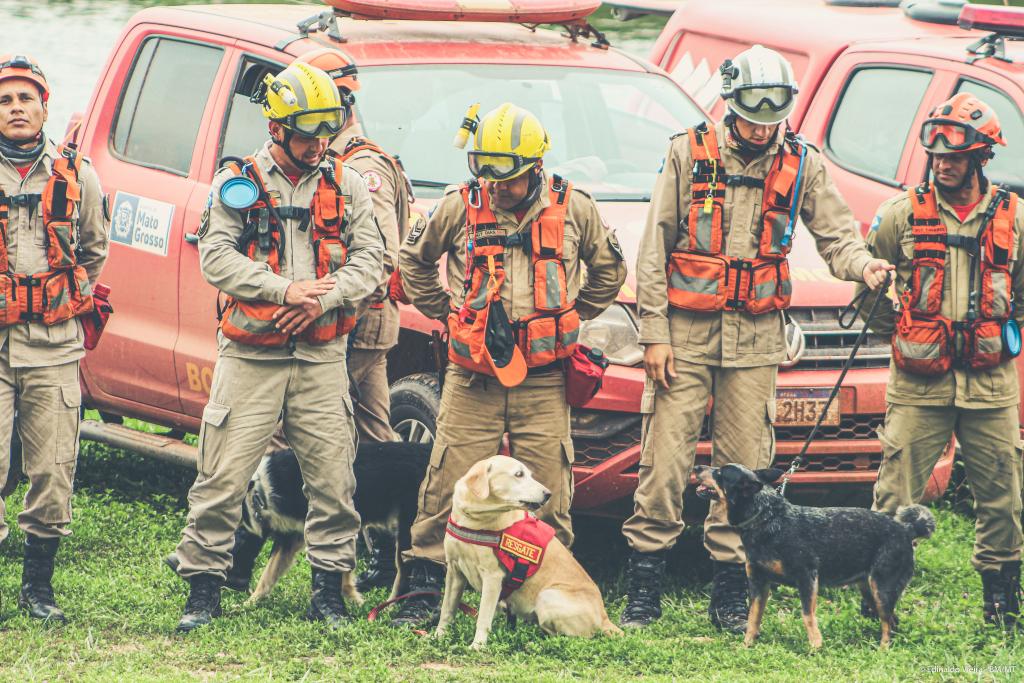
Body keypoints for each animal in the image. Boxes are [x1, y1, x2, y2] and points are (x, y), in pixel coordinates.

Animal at [436, 456, 618, 651]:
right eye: (519, 474)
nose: (548, 494)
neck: (473, 519)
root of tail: (605, 617)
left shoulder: (492, 577)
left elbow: (483, 617)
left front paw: (477, 645)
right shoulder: (454, 571)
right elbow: (447, 609)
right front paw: (438, 636)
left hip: (547, 596)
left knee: (573, 638)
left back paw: (534, 643)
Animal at [696, 462, 937, 651]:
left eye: (720, 473)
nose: (698, 467)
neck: (767, 518)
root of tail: (907, 529)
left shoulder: (807, 578)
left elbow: (807, 616)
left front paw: (815, 646)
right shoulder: (758, 582)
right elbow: (753, 617)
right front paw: (747, 644)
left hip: (882, 588)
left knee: (888, 622)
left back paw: (883, 649)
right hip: (870, 590)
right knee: (893, 621)